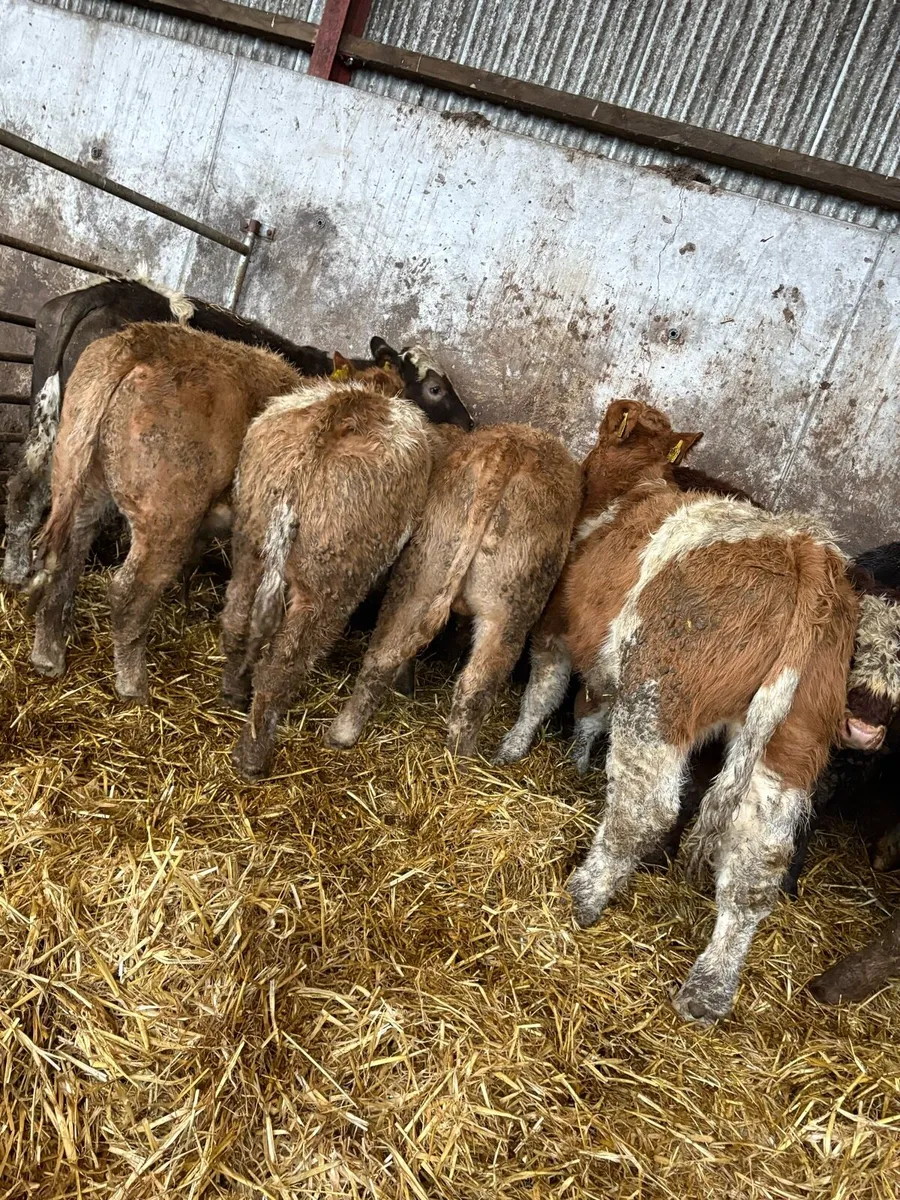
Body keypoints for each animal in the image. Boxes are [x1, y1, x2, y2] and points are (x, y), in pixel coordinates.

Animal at [2, 278, 472, 588]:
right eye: (435, 388)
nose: (470, 424)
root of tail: (100, 292)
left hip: (53, 428)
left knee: (27, 492)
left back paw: (15, 572)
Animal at [223, 358, 435, 779]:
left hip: (249, 548)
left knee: (236, 616)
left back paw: (234, 694)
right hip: (328, 587)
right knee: (283, 665)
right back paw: (252, 757)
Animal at [327, 421, 582, 759]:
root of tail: (509, 450)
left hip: (422, 573)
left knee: (382, 655)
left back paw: (343, 733)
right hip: (509, 606)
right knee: (475, 685)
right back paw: (463, 759)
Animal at [495, 399, 857, 1023]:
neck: (631, 491)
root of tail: (806, 547)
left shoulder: (555, 629)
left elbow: (544, 691)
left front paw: (513, 747)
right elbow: (589, 710)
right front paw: (575, 760)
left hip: (660, 698)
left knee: (644, 810)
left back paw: (585, 893)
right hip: (793, 740)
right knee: (757, 861)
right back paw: (708, 991)